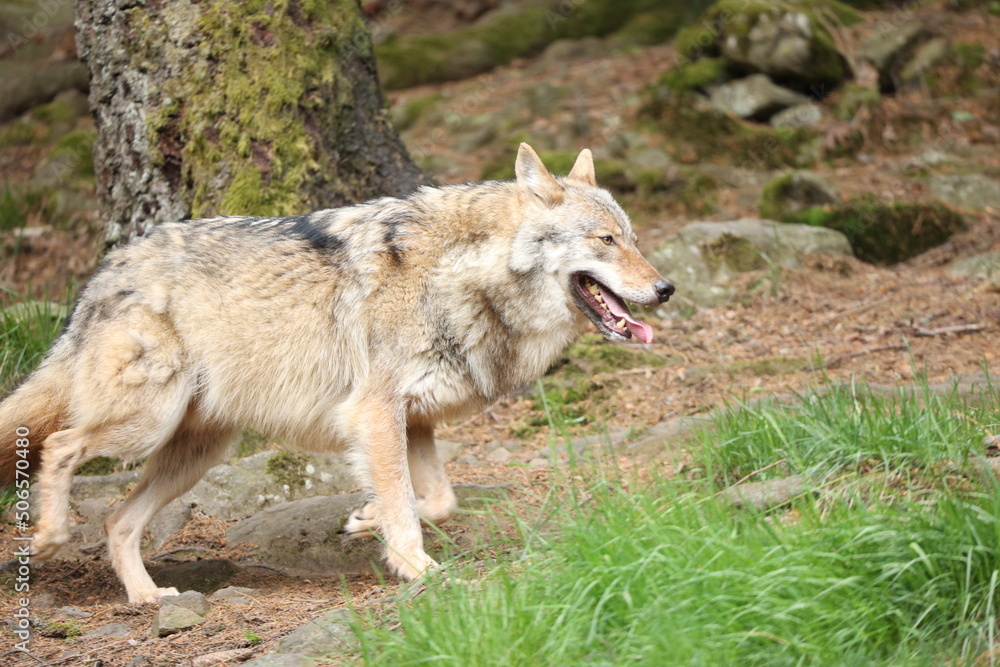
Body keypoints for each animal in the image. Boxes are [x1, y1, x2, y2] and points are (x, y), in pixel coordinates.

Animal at [0, 144, 674, 603]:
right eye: (606, 240)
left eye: (635, 238)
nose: (666, 288)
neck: (460, 277)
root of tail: (104, 272)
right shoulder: (374, 413)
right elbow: (407, 504)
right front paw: (417, 568)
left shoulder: (413, 422)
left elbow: (435, 500)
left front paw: (365, 520)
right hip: (144, 425)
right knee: (60, 446)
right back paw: (51, 537)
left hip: (195, 454)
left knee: (117, 520)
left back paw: (146, 598)